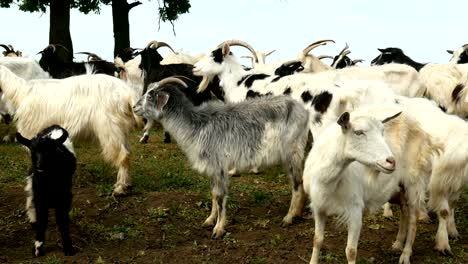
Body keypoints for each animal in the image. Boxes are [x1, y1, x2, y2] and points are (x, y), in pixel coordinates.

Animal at [0, 65, 142, 195]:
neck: (20, 91)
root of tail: (127, 92)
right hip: (120, 130)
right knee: (127, 152)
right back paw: (127, 184)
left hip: (110, 128)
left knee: (122, 155)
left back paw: (120, 188)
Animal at [15, 125, 76, 256]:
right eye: (32, 151)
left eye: (48, 151)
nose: (39, 166)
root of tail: (54, 126)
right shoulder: (40, 196)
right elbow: (42, 219)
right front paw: (38, 247)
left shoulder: (64, 197)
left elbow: (62, 220)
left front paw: (68, 247)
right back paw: (33, 220)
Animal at [133, 77, 310, 239]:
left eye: (151, 95)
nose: (134, 107)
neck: (196, 124)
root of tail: (302, 110)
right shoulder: (212, 168)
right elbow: (213, 193)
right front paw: (209, 220)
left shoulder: (219, 166)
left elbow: (219, 196)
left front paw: (218, 229)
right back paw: (298, 213)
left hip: (292, 152)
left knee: (297, 183)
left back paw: (288, 218)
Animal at [306, 105, 440, 264]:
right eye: (358, 132)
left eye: (383, 132)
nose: (391, 161)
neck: (329, 181)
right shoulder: (319, 207)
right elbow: (317, 240)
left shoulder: (355, 210)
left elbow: (351, 251)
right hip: (397, 188)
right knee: (404, 209)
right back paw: (398, 243)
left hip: (414, 181)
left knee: (414, 217)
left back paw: (405, 254)